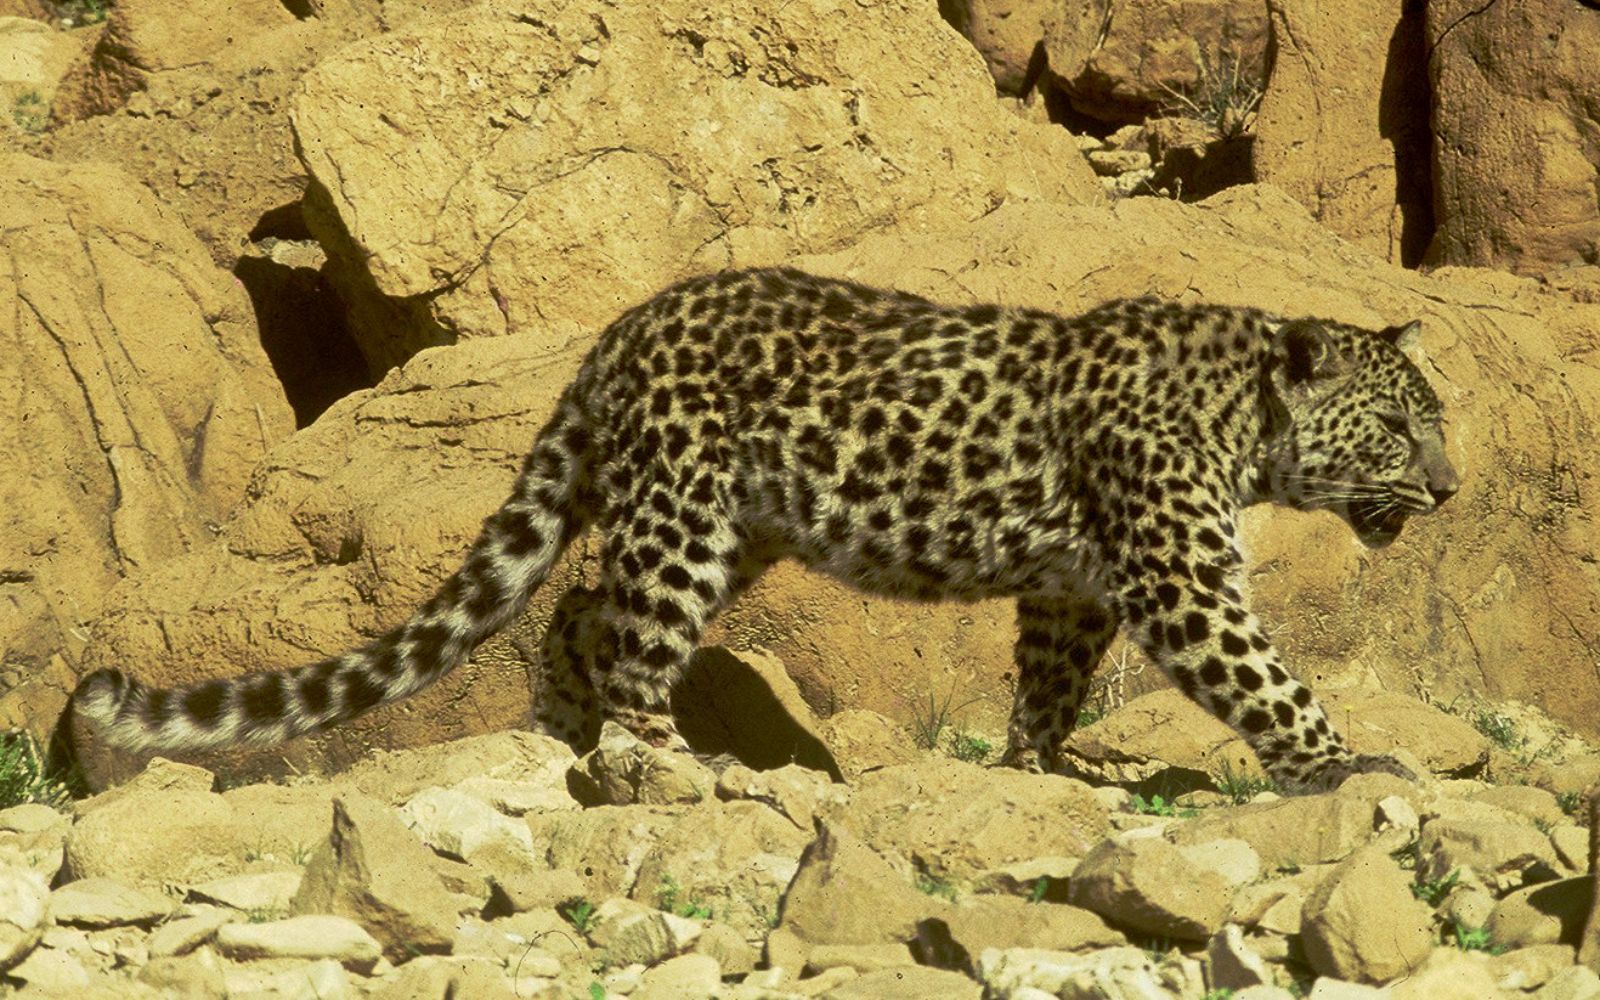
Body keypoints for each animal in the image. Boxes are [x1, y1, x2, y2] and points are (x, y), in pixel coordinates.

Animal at [73, 266, 1459, 793]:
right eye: (1400, 428)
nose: (1448, 491)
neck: (1243, 418)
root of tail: (618, 331)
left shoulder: (1075, 587)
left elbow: (1051, 682)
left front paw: (1038, 768)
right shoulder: (1180, 577)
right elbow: (1264, 676)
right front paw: (1348, 765)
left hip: (733, 529)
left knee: (580, 607)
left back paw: (568, 731)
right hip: (686, 518)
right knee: (632, 636)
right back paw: (666, 762)